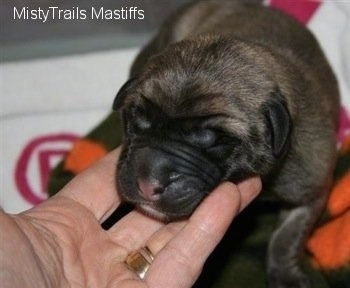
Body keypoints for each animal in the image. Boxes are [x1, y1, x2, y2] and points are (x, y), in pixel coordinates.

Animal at [112, 1, 340, 286]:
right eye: (136, 118)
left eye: (210, 139)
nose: (147, 185)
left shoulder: (311, 185)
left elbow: (287, 236)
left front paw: (286, 275)